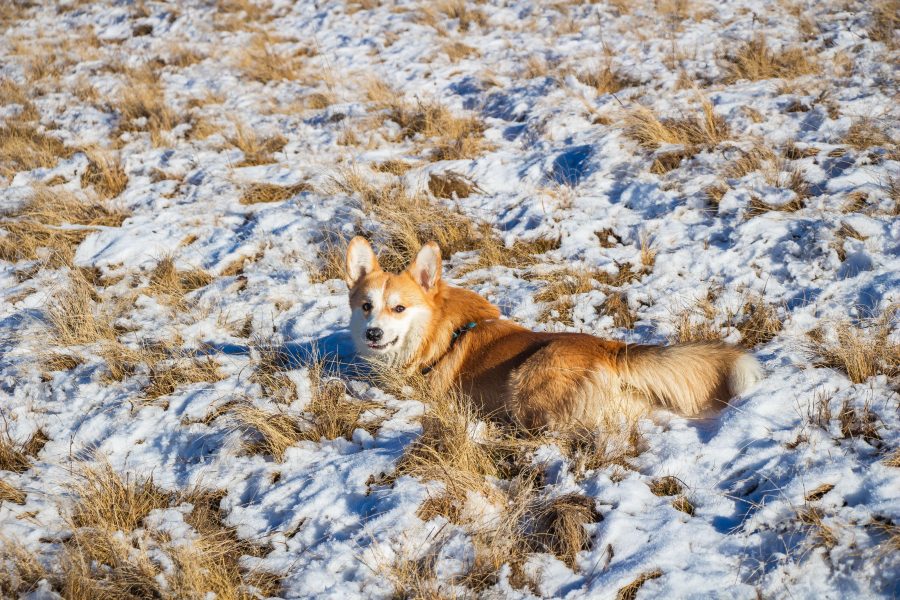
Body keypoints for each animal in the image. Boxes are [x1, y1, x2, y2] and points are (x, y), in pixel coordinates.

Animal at [344, 237, 760, 428]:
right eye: (366, 306)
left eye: (399, 308)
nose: (373, 334)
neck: (437, 332)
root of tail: (610, 349)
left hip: (527, 378)